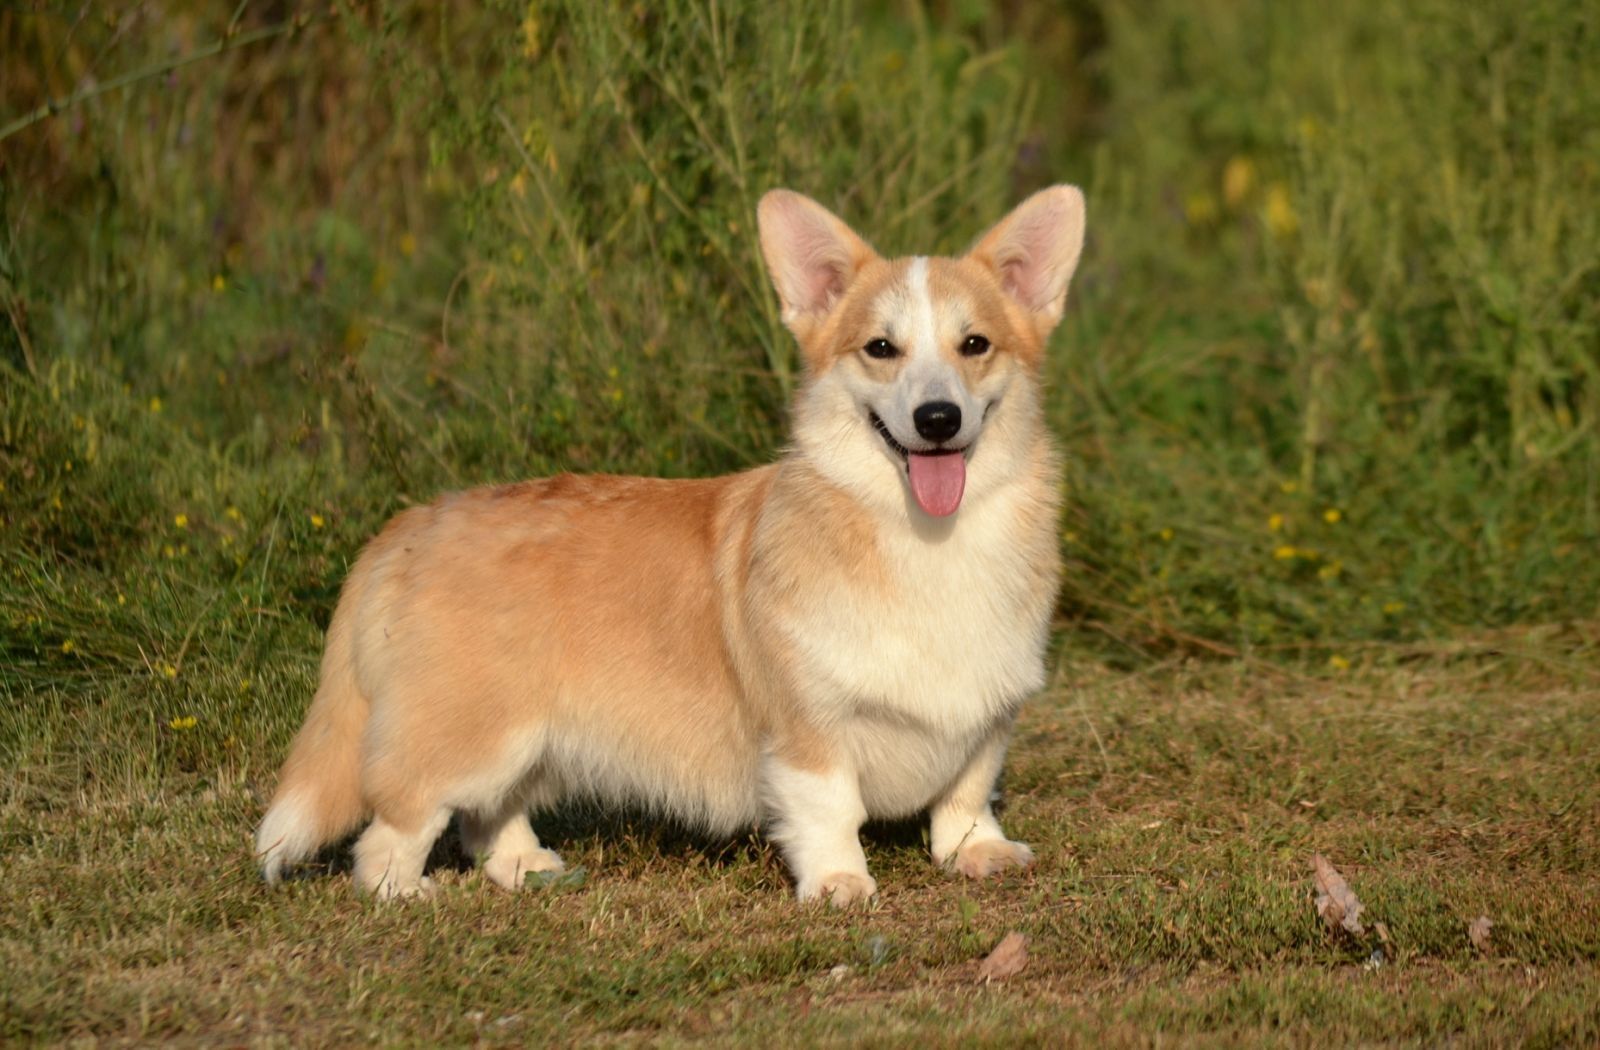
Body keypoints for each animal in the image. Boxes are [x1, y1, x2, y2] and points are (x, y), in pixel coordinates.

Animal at [252, 182, 1088, 902]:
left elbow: (966, 793)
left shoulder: (989, 715)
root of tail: (411, 525)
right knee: (397, 824)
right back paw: (403, 891)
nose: (938, 419)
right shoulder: (807, 728)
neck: (927, 537)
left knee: (493, 813)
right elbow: (830, 810)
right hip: (468, 734)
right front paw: (839, 884)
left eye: (975, 344)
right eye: (880, 349)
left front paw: (976, 852)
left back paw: (526, 864)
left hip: (525, 741)